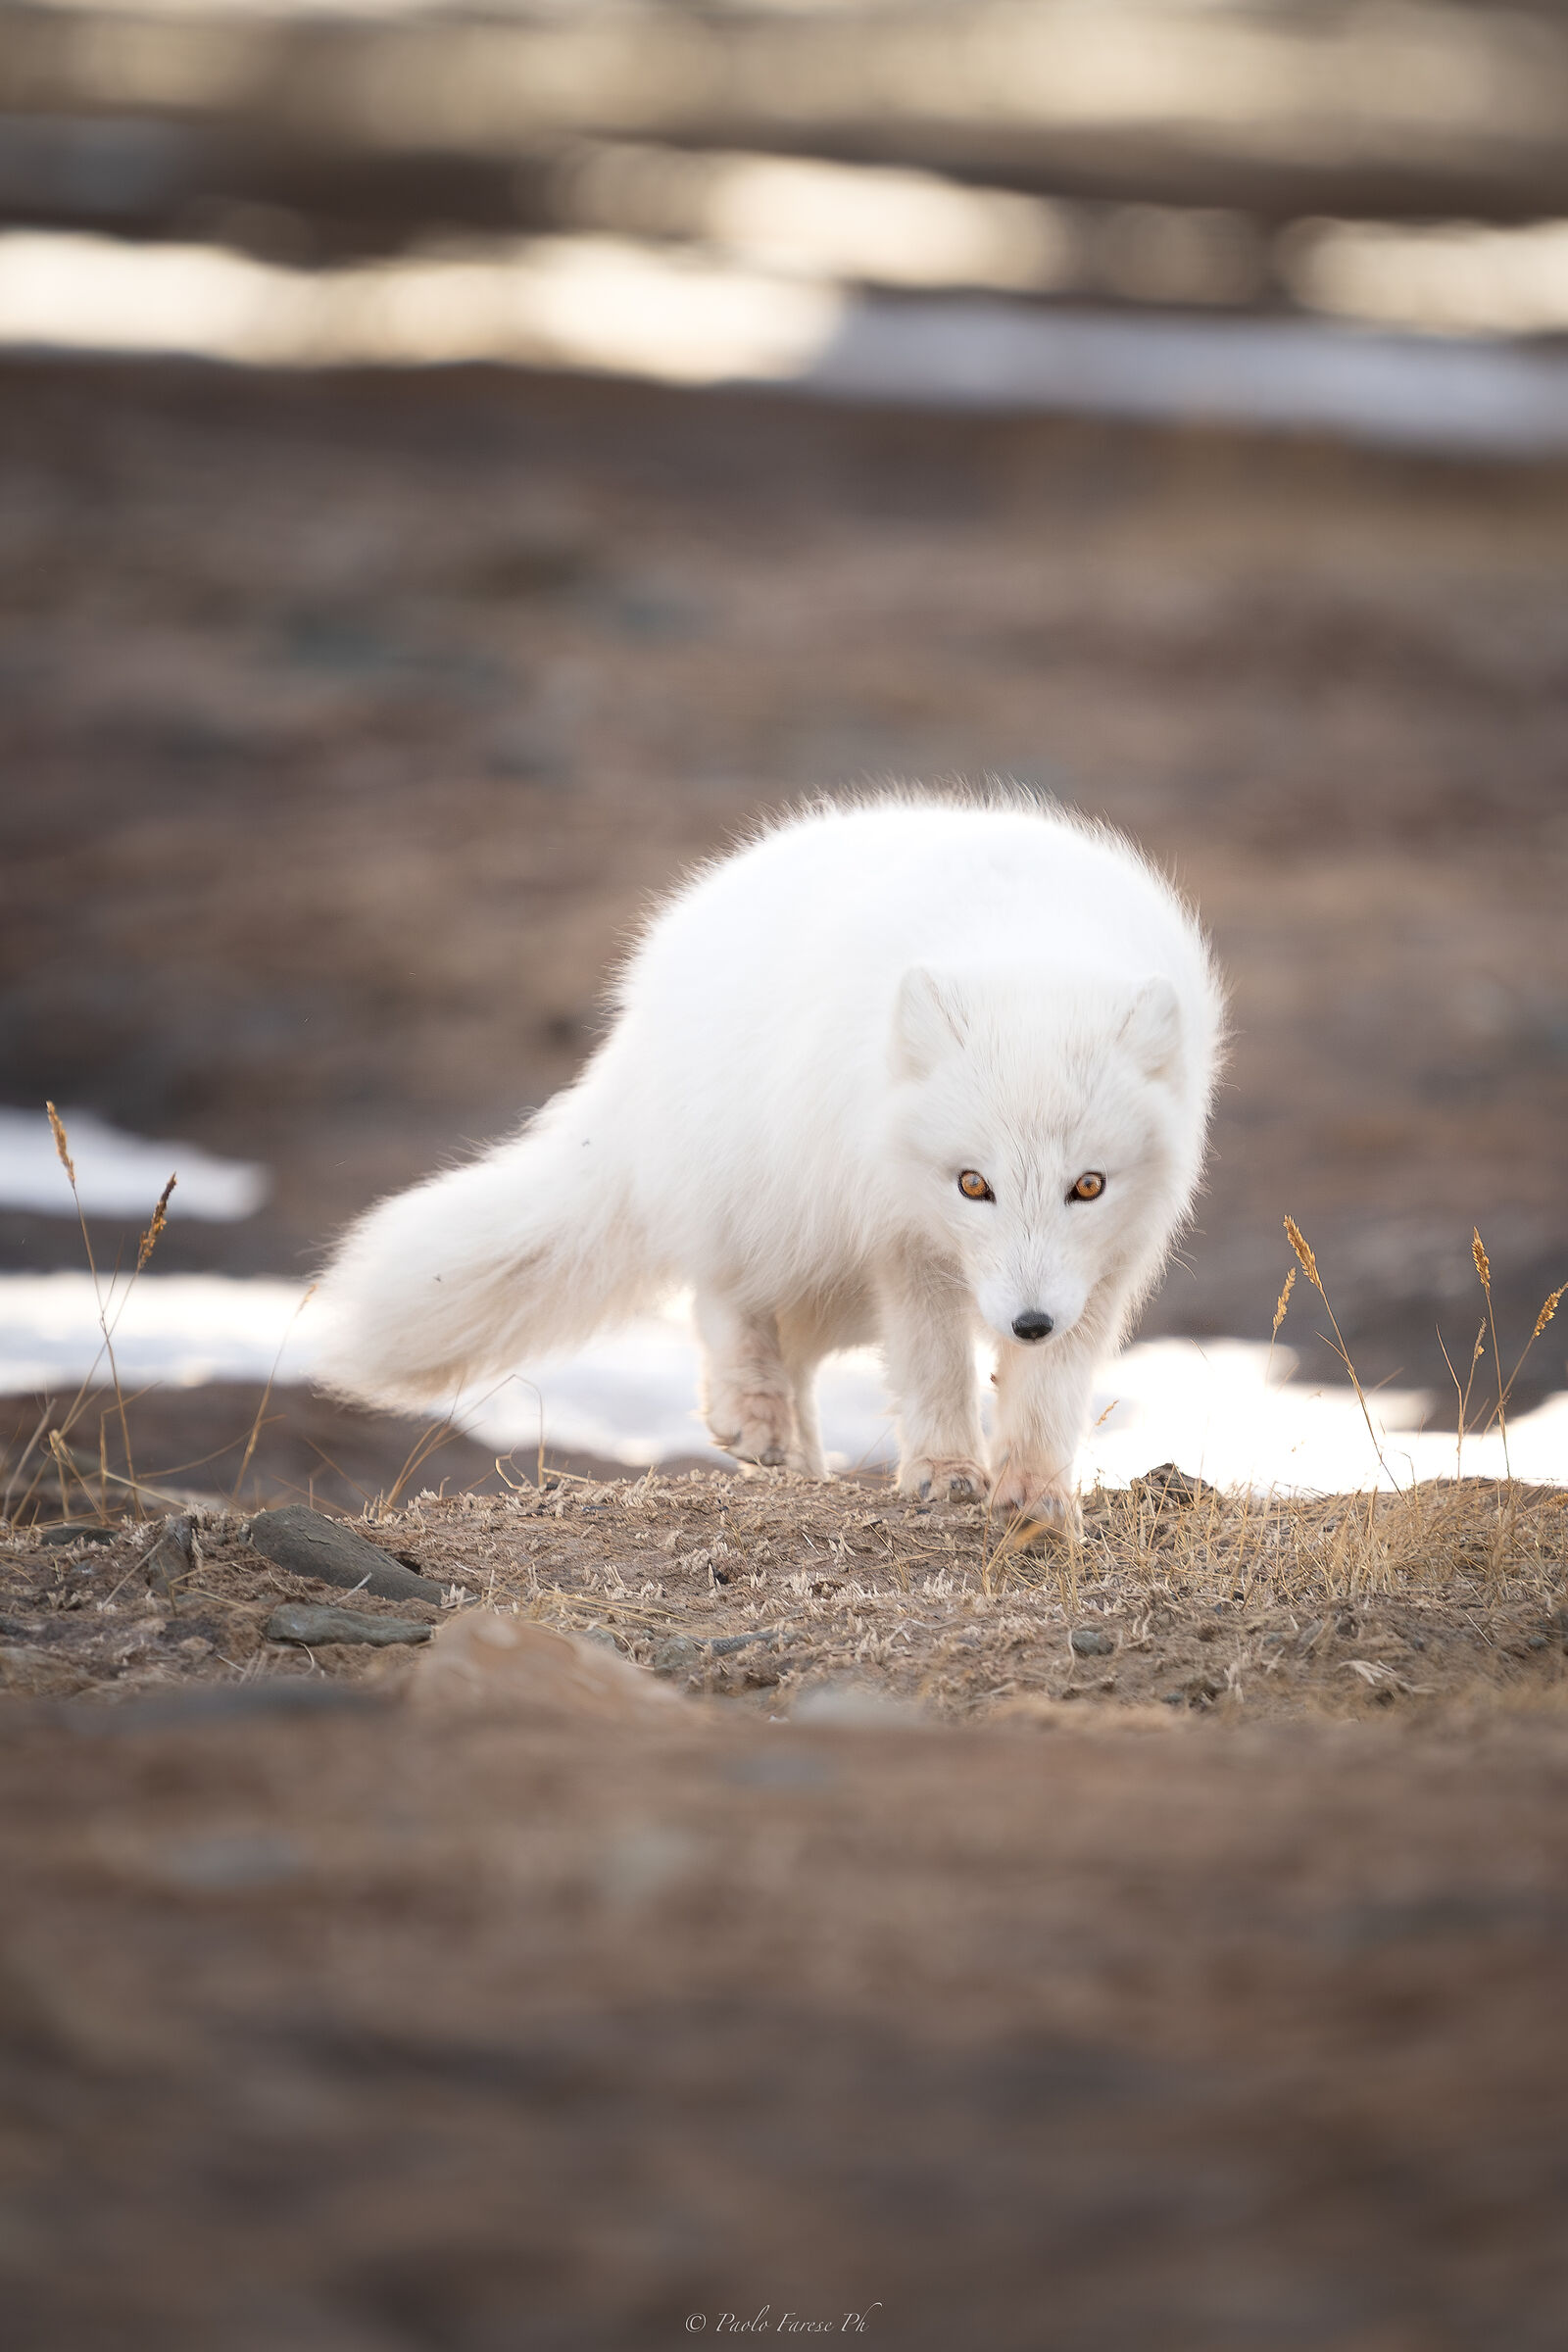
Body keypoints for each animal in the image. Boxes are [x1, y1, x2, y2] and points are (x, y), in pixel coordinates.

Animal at [312, 792, 1225, 1527]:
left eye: (1088, 1185)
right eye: (974, 1184)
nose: (1028, 1322)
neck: (1024, 947)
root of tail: (641, 1008)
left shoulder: (1104, 1268)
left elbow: (1050, 1394)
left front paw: (1034, 1493)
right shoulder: (903, 1239)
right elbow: (933, 1368)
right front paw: (944, 1472)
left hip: (835, 1277)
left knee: (799, 1353)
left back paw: (801, 1462)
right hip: (776, 1212)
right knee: (724, 1300)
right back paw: (753, 1416)